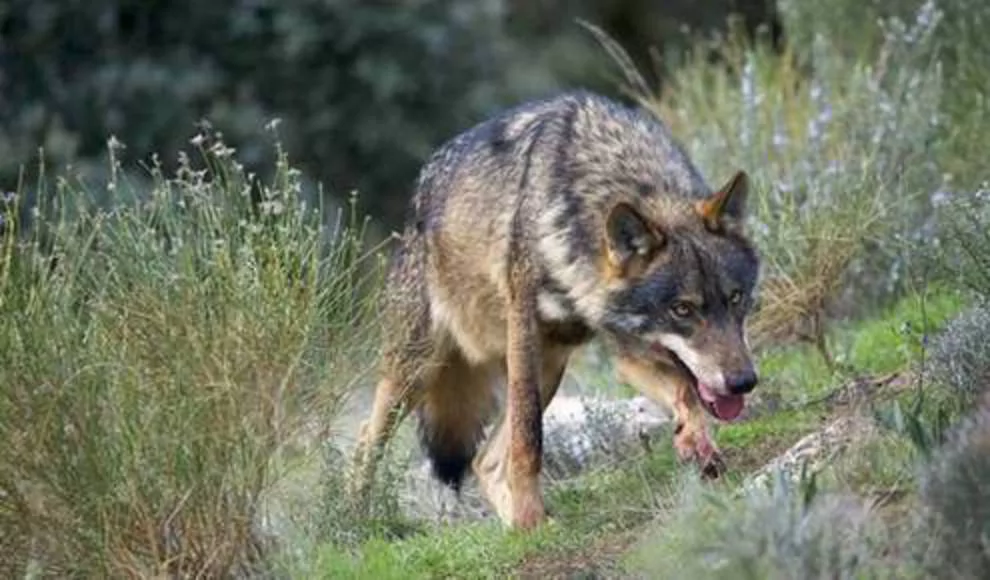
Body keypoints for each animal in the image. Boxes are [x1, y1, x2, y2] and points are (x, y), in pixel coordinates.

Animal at [352, 90, 764, 532]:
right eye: (682, 309)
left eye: (735, 298)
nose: (743, 382)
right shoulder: (524, 333)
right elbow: (528, 438)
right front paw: (530, 514)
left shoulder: (628, 349)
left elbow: (685, 391)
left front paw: (696, 443)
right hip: (417, 372)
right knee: (365, 442)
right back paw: (354, 521)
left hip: (549, 366)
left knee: (484, 461)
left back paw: (518, 527)